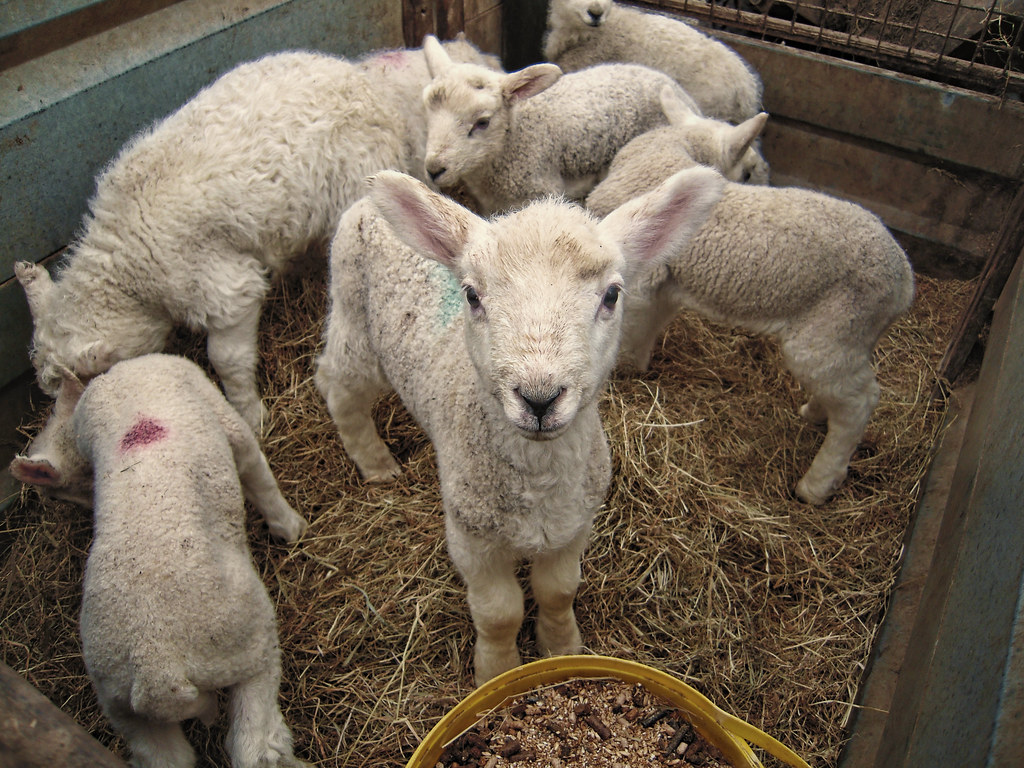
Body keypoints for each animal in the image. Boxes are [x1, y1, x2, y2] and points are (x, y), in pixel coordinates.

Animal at [11, 353, 308, 768]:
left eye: (54, 494)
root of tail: (158, 671)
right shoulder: (224, 417)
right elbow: (257, 472)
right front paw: (291, 527)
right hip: (249, 646)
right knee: (252, 745)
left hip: (124, 707)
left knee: (166, 756)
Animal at [14, 37, 500, 459]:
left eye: (86, 382)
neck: (127, 260)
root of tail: (359, 76)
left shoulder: (223, 286)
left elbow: (225, 358)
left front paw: (250, 415)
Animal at [313, 168, 724, 683]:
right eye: (471, 295)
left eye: (612, 295)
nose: (539, 398)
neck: (538, 481)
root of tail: (364, 204)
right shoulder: (471, 539)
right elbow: (499, 613)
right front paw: (496, 672)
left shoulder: (574, 527)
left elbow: (558, 591)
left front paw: (562, 647)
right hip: (354, 322)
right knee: (337, 386)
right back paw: (375, 464)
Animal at [585, 123, 915, 506]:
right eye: (748, 172)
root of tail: (904, 282)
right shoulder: (667, 282)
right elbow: (648, 326)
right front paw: (635, 367)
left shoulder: (644, 279)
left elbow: (631, 326)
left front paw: (622, 372)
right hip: (851, 335)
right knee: (842, 389)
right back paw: (815, 413)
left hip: (836, 325)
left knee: (859, 402)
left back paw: (817, 484)